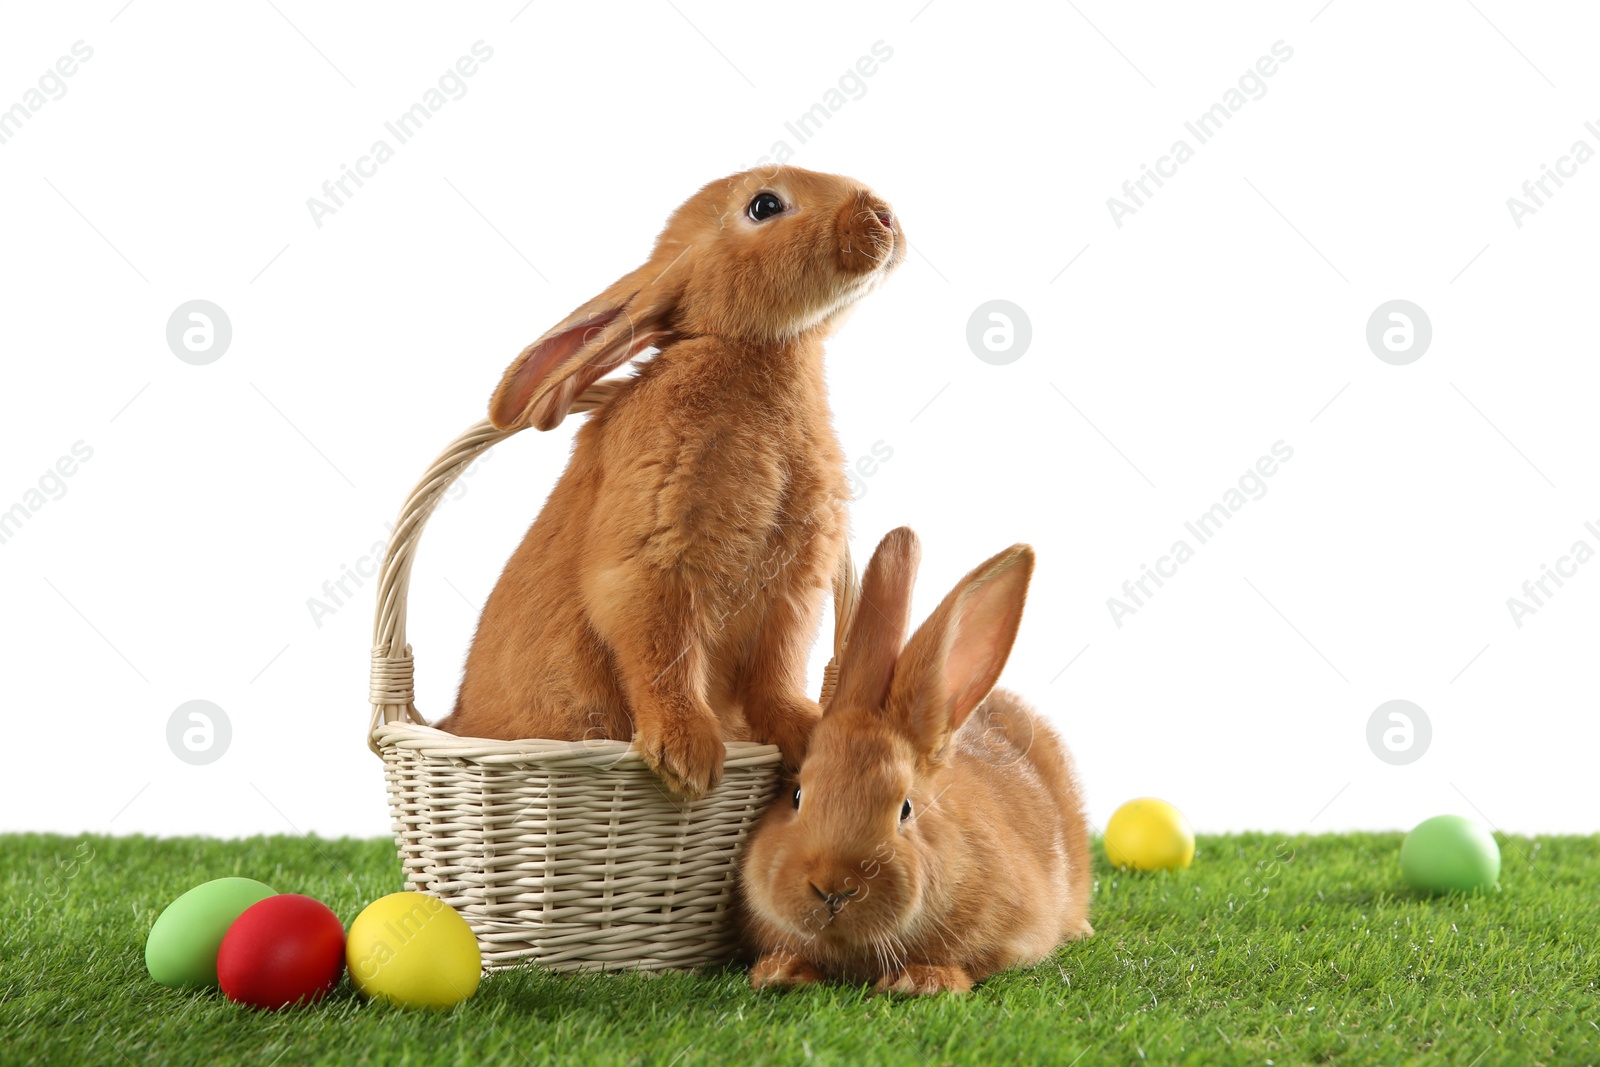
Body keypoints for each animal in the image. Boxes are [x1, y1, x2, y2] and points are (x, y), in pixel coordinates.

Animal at [432, 168, 908, 799]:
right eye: (764, 205)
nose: (883, 214)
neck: (751, 348)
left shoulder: (793, 589)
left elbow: (778, 672)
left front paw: (806, 733)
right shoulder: (657, 560)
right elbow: (663, 653)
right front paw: (687, 758)